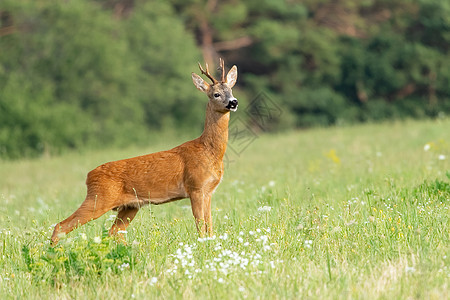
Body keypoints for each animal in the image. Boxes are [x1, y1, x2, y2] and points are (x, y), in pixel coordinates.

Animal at [50, 59, 237, 246]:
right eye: (216, 94)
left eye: (231, 90)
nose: (233, 102)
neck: (209, 151)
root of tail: (89, 176)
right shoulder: (196, 187)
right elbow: (201, 227)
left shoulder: (208, 191)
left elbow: (209, 226)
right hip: (99, 198)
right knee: (61, 226)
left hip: (129, 206)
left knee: (114, 232)